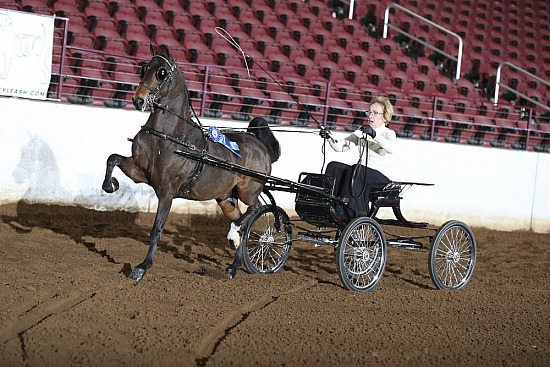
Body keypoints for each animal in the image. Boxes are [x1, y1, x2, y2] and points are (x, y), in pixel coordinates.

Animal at [103, 45, 282, 282]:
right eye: (144, 68)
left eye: (161, 73)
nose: (138, 100)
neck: (168, 136)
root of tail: (260, 145)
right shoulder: (140, 172)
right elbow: (112, 158)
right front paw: (110, 185)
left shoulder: (167, 192)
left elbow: (157, 228)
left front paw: (142, 267)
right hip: (226, 199)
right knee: (244, 224)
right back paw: (233, 265)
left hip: (248, 190)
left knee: (257, 209)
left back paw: (234, 235)